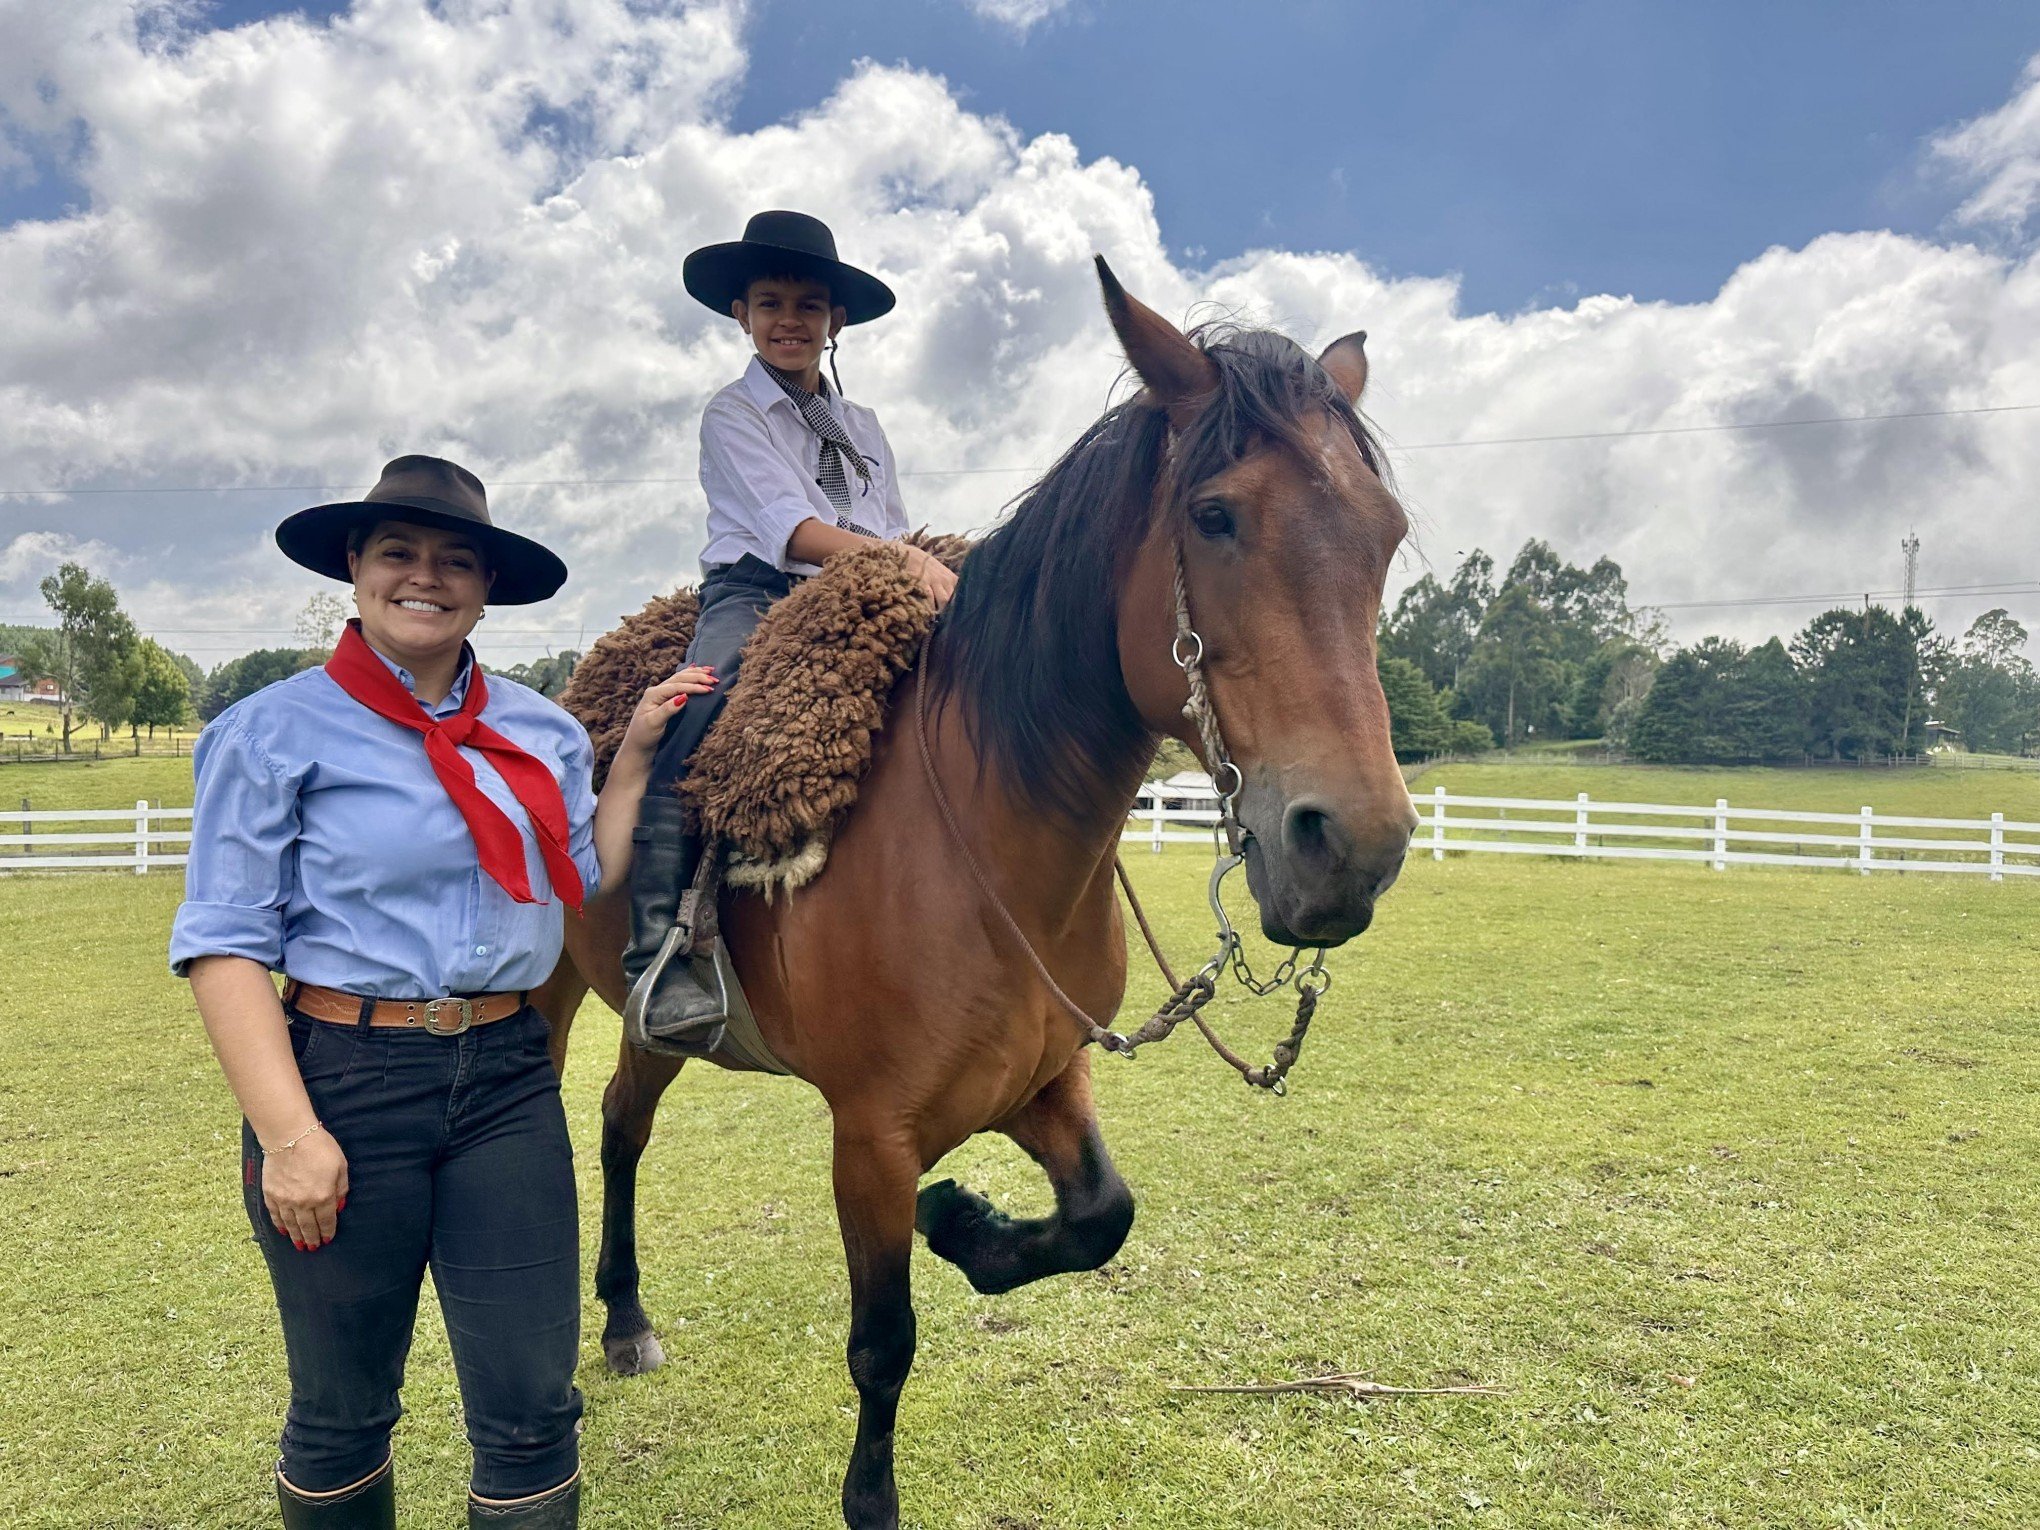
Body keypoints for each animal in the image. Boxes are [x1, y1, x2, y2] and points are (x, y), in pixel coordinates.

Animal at [534, 263, 1411, 1530]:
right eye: (1216, 516)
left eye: (1386, 534)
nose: (1352, 847)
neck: (986, 855)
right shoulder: (870, 1140)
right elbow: (882, 1343)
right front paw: (873, 1490)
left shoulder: (1045, 1079)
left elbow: (1101, 1215)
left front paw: (971, 1224)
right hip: (546, 994)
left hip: (657, 1028)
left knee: (619, 1122)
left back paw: (627, 1321)